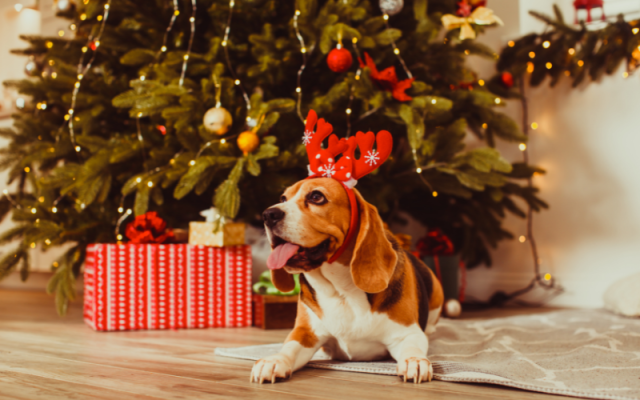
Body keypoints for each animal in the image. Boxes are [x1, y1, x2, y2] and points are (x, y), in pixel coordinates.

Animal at [251, 178, 444, 384]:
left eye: (316, 196)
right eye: (283, 198)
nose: (268, 215)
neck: (341, 292)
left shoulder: (408, 333)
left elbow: (412, 347)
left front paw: (414, 361)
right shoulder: (305, 332)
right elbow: (289, 347)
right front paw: (274, 360)